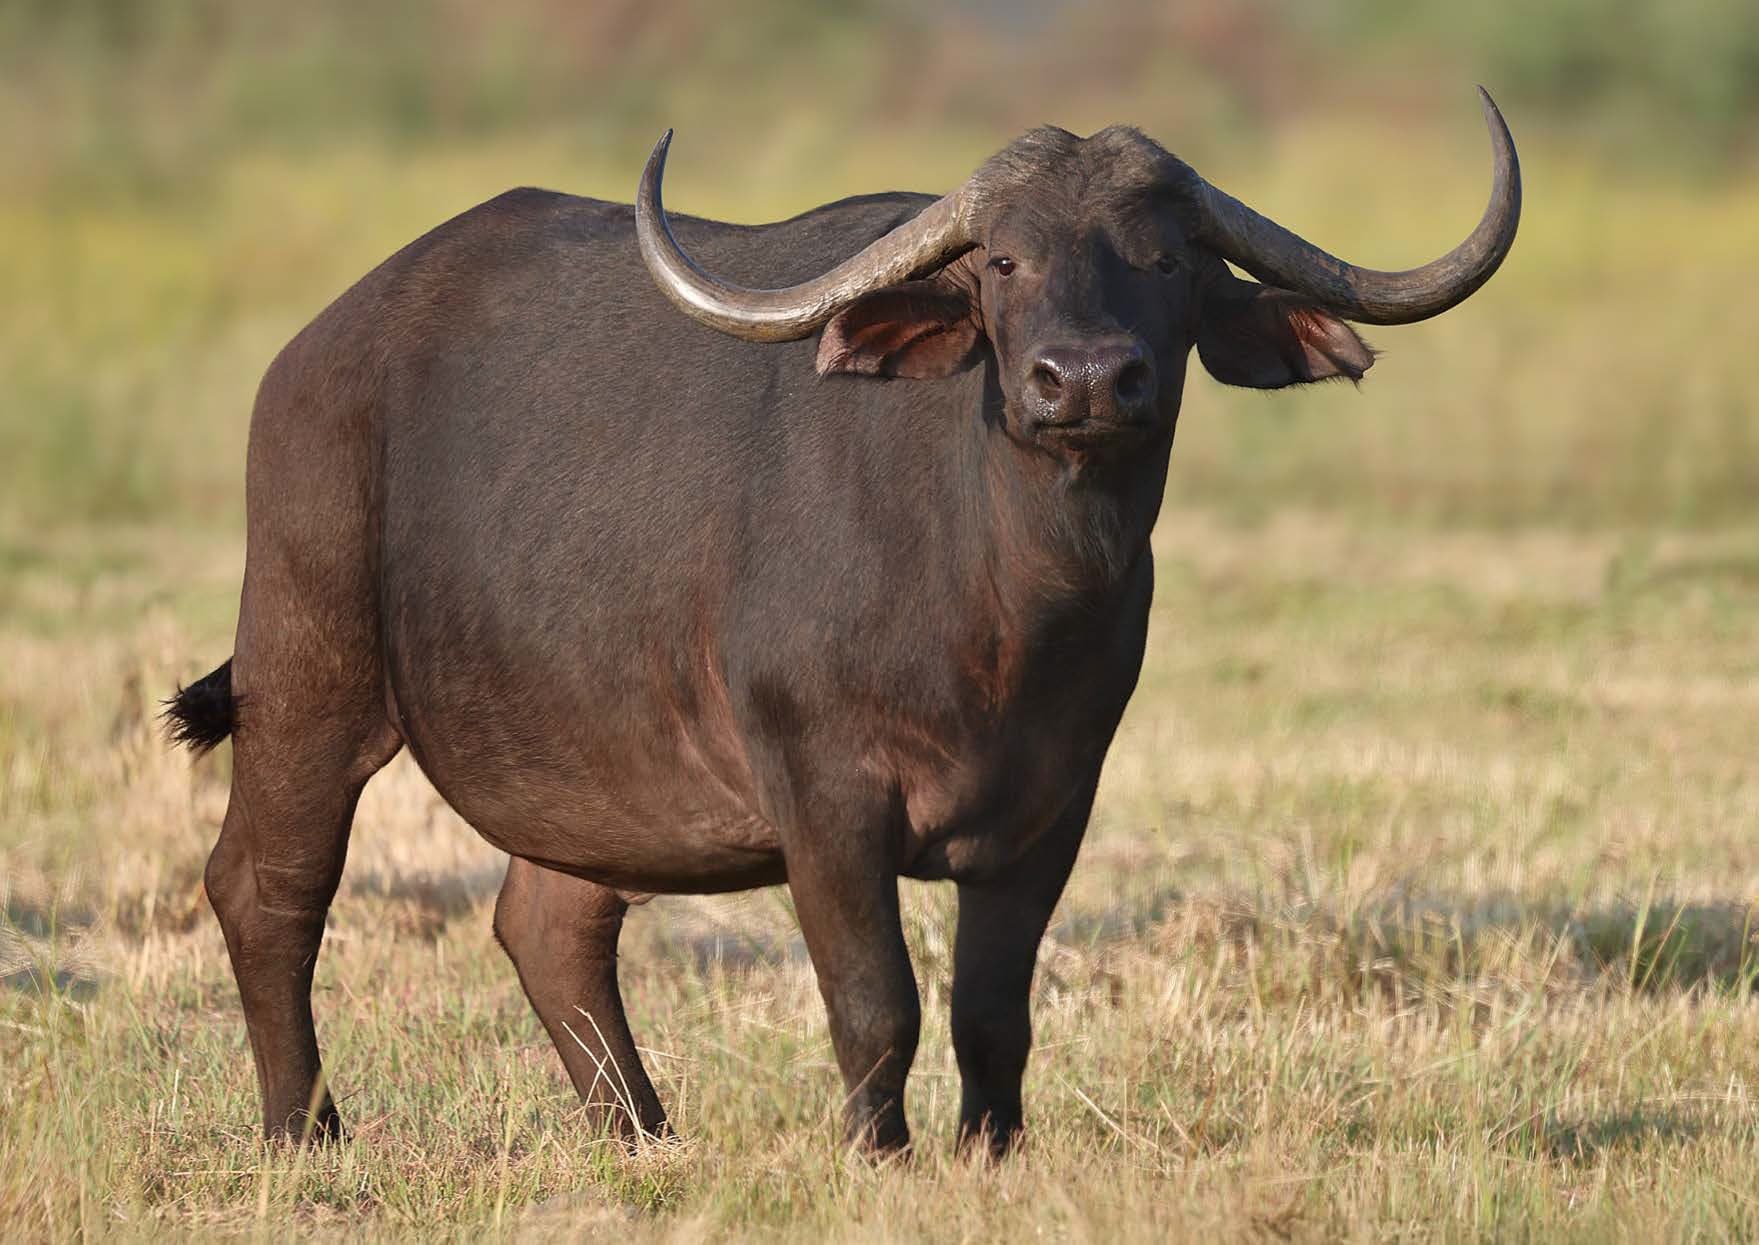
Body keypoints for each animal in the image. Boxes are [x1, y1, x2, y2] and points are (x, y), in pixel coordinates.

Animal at [167, 90, 1519, 1155]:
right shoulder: (822, 793)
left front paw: (990, 1152)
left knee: (550, 926)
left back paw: (642, 1135)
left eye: (1166, 260)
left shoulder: (1055, 804)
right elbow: (877, 1003)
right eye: (1002, 262)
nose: (1084, 382)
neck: (997, 607)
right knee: (267, 887)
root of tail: (315, 355)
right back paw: (307, 1132)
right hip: (308, 671)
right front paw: (882, 1155)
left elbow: (991, 1011)